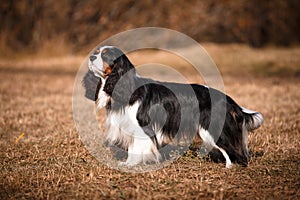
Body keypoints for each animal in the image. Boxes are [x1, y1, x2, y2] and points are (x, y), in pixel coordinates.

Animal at [82, 46, 262, 168]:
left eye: (105, 54)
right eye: (97, 52)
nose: (91, 56)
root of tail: (227, 99)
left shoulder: (142, 127)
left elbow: (137, 148)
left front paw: (132, 165)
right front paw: (128, 164)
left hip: (212, 129)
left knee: (232, 149)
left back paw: (230, 167)